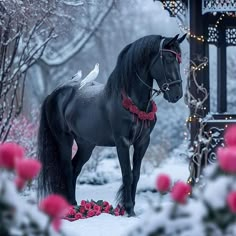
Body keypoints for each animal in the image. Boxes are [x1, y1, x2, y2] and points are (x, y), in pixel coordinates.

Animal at [37, 33, 186, 216]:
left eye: (179, 59)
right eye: (169, 58)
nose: (177, 94)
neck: (132, 102)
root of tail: (56, 92)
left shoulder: (142, 142)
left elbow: (136, 174)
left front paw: (131, 208)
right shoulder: (122, 143)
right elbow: (127, 175)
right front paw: (129, 210)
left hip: (86, 144)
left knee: (74, 168)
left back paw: (74, 205)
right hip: (64, 140)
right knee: (66, 169)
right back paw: (70, 207)